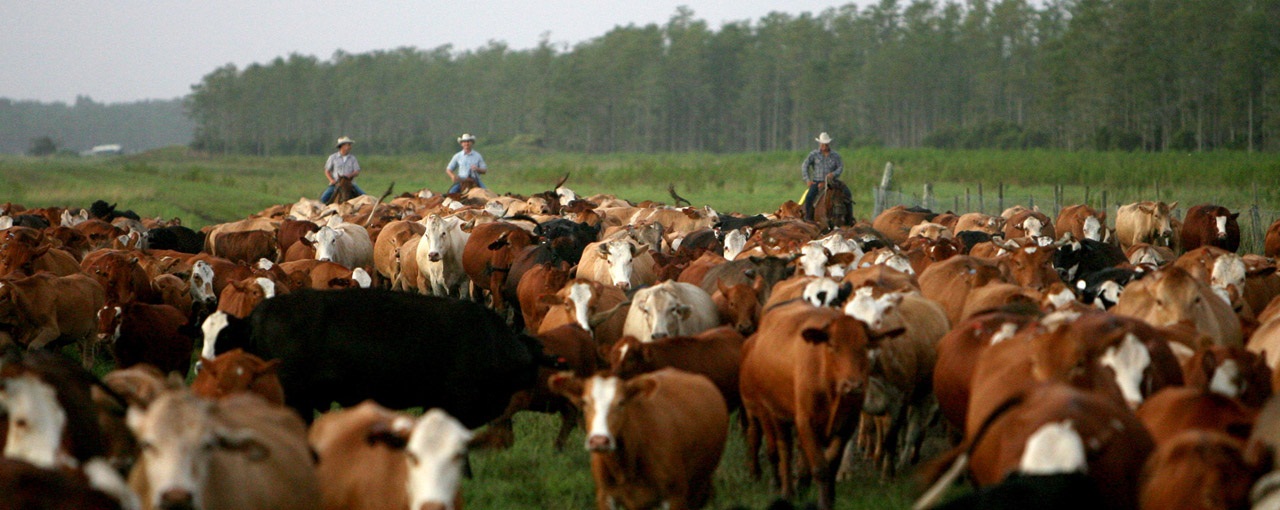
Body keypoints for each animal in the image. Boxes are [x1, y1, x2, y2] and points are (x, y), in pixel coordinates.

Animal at [739, 301, 903, 509]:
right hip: (773, 413)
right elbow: (820, 467)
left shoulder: (847, 425)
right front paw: (823, 502)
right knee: (784, 450)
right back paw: (786, 490)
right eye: (832, 345)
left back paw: (801, 485)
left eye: (865, 345)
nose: (853, 385)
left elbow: (831, 464)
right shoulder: (805, 422)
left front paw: (830, 498)